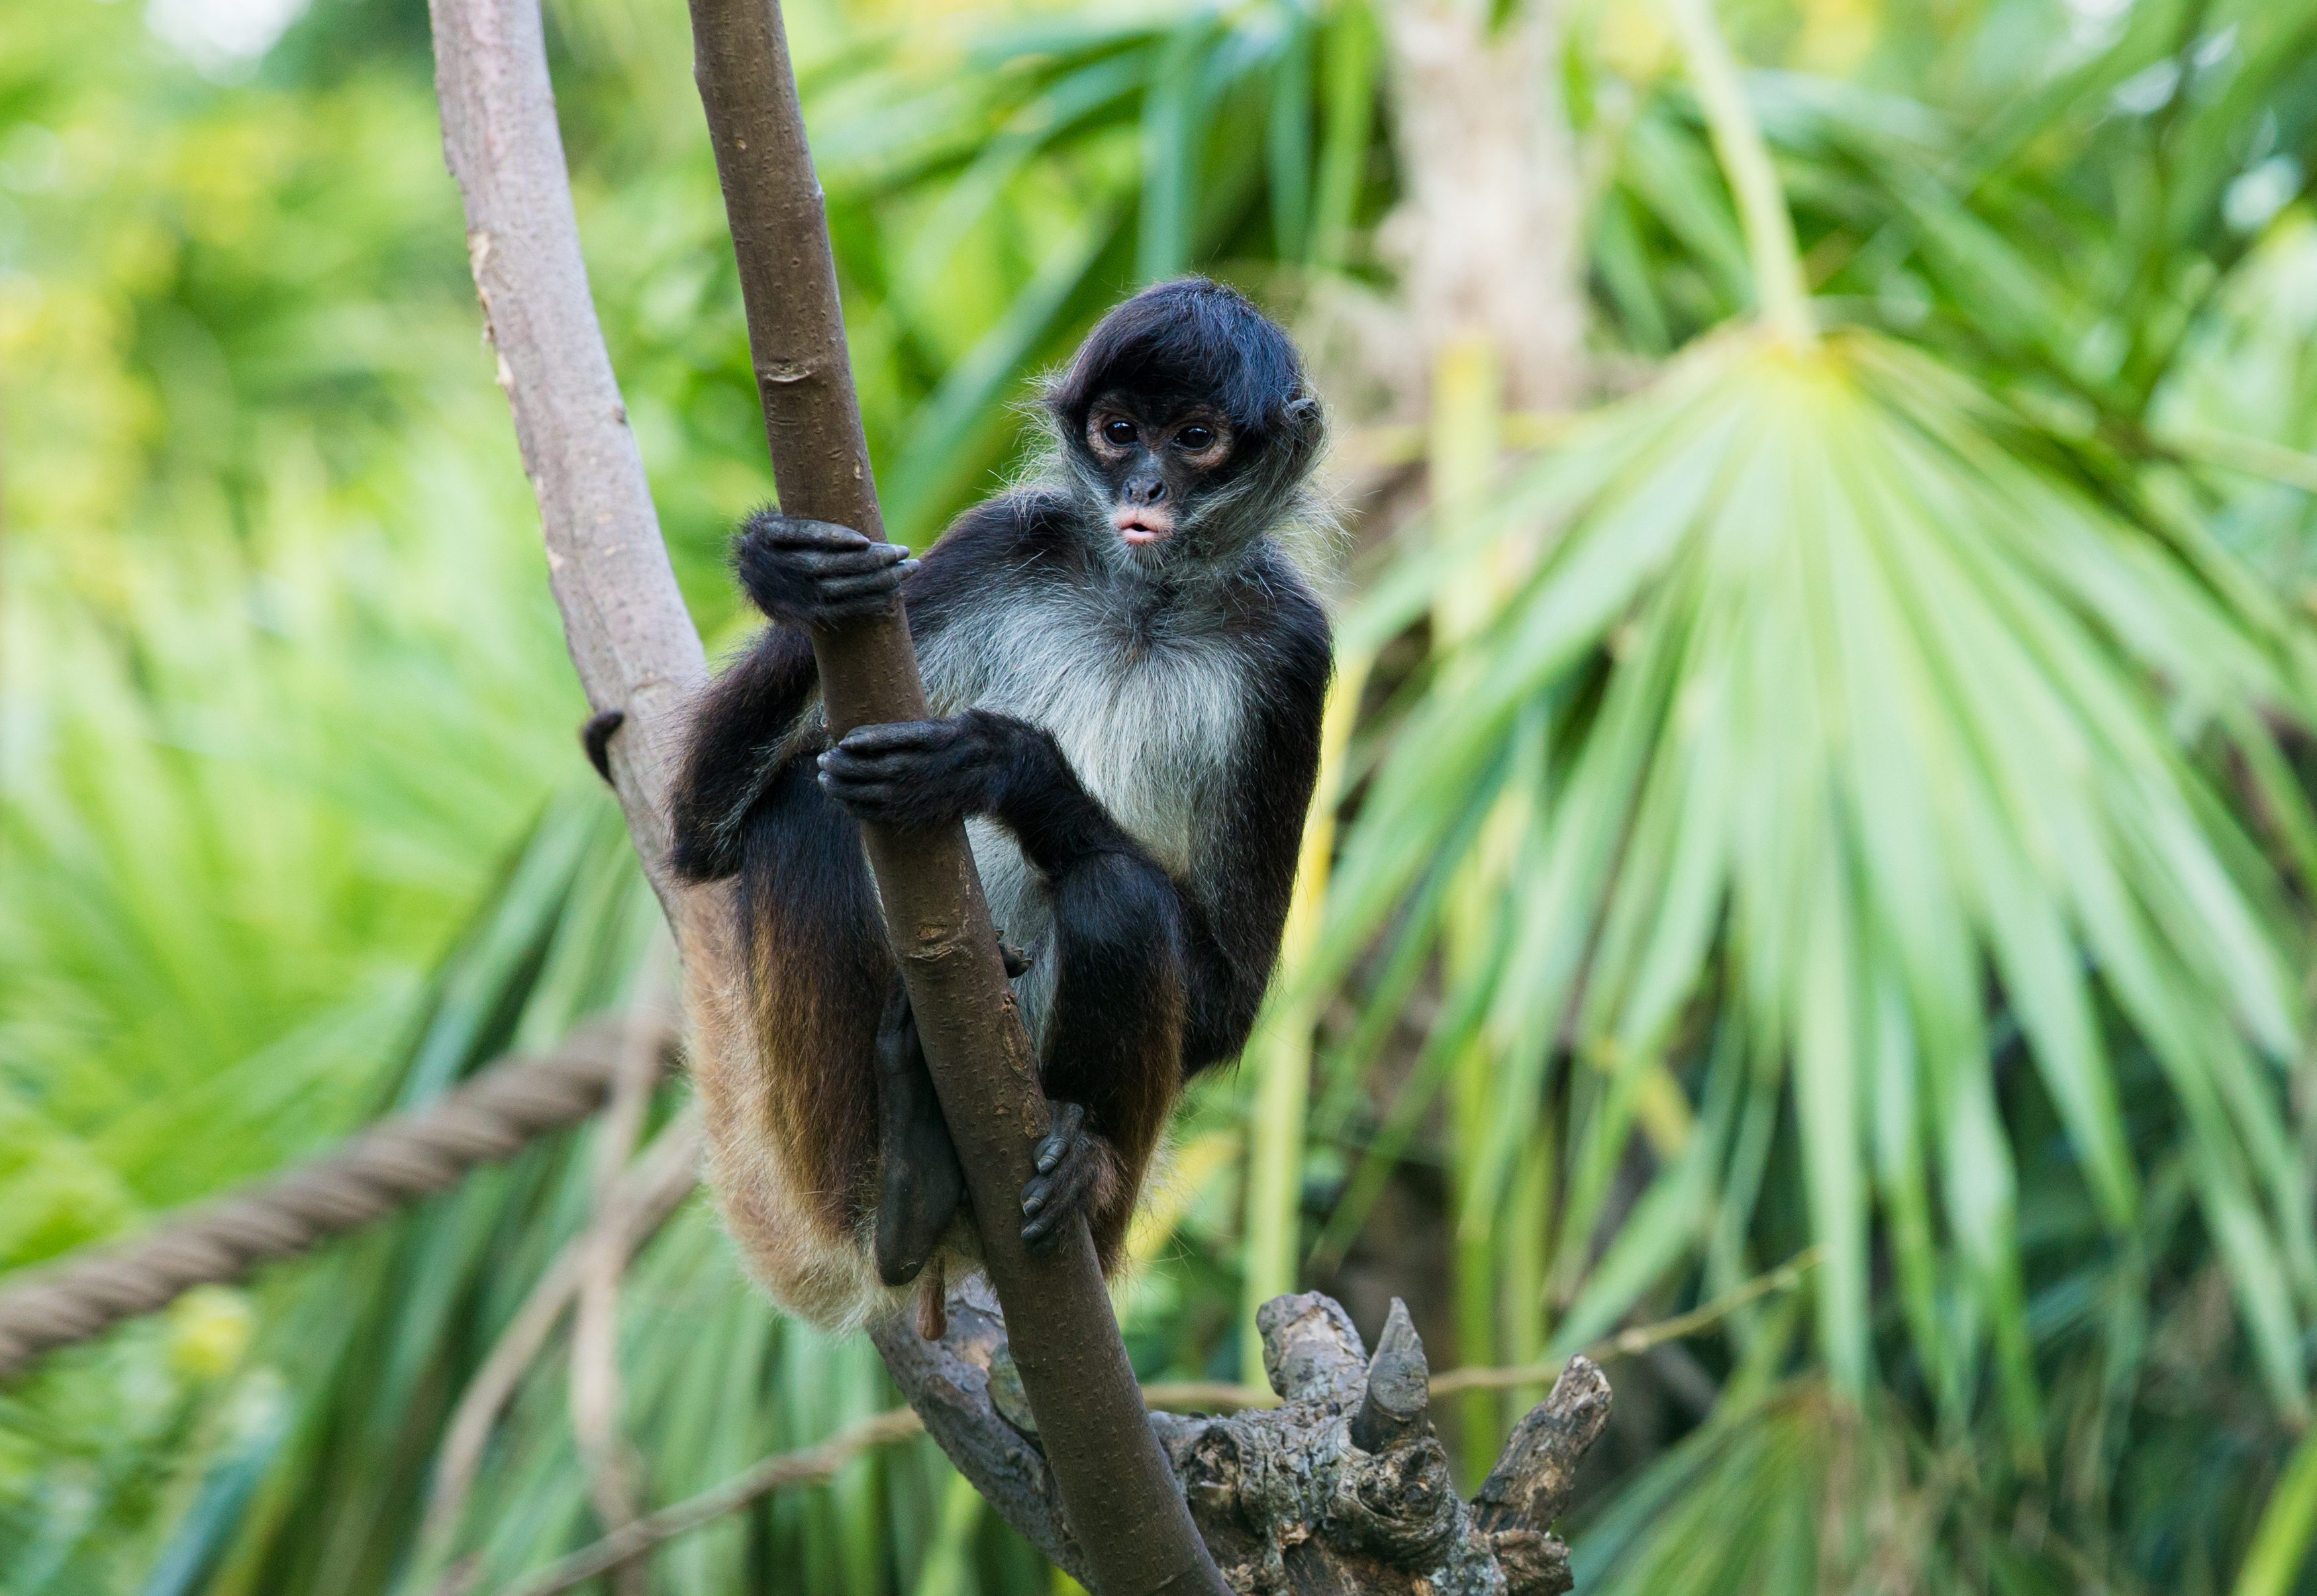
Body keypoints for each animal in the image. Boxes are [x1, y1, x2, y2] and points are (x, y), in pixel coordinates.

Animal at [662, 280, 1334, 1324]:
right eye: (1117, 431)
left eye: (1193, 438)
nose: (1143, 490)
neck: (1140, 606)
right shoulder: (1001, 542)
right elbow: (700, 839)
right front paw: (791, 576)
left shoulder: (1294, 652)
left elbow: (1227, 1003)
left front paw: (1011, 765)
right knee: (802, 808)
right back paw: (901, 1184)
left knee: (1117, 897)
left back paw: (1076, 1176)